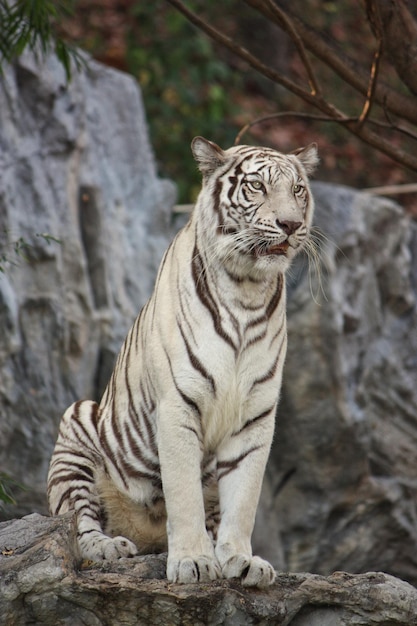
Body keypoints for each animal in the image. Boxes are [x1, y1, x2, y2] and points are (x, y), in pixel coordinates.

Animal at [47, 135, 316, 584]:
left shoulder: (256, 417)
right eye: (257, 186)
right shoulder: (178, 405)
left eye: (297, 190)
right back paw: (109, 547)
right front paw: (193, 561)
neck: (247, 288)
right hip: (78, 426)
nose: (291, 224)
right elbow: (183, 492)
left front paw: (240, 560)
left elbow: (244, 499)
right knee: (77, 523)